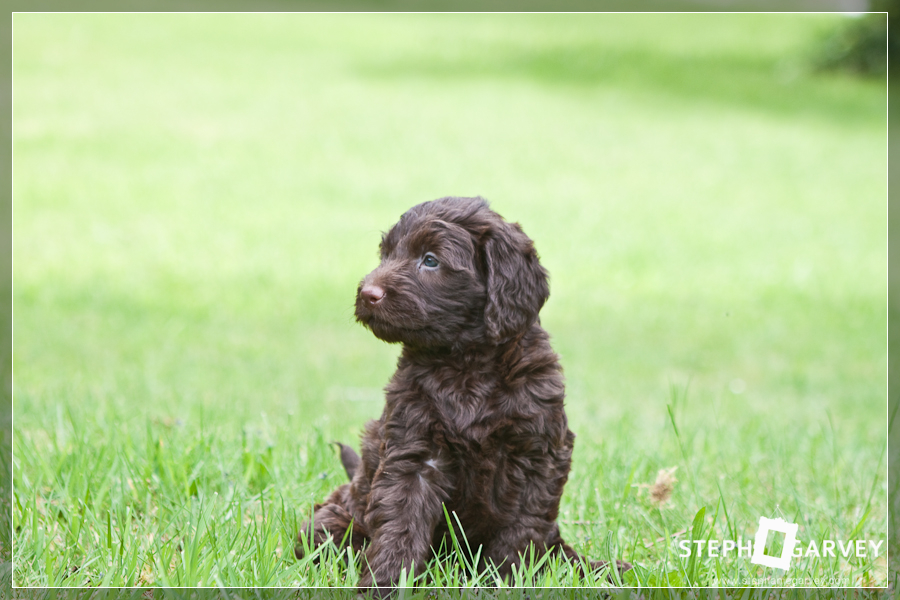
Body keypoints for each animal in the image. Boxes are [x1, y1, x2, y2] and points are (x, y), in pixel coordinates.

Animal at [296, 196, 629, 594]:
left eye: (430, 260)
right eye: (386, 254)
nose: (366, 293)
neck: (466, 365)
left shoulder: (539, 452)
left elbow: (522, 529)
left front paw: (504, 582)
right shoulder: (414, 452)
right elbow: (400, 525)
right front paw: (386, 584)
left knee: (555, 547)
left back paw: (601, 570)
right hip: (334, 519)